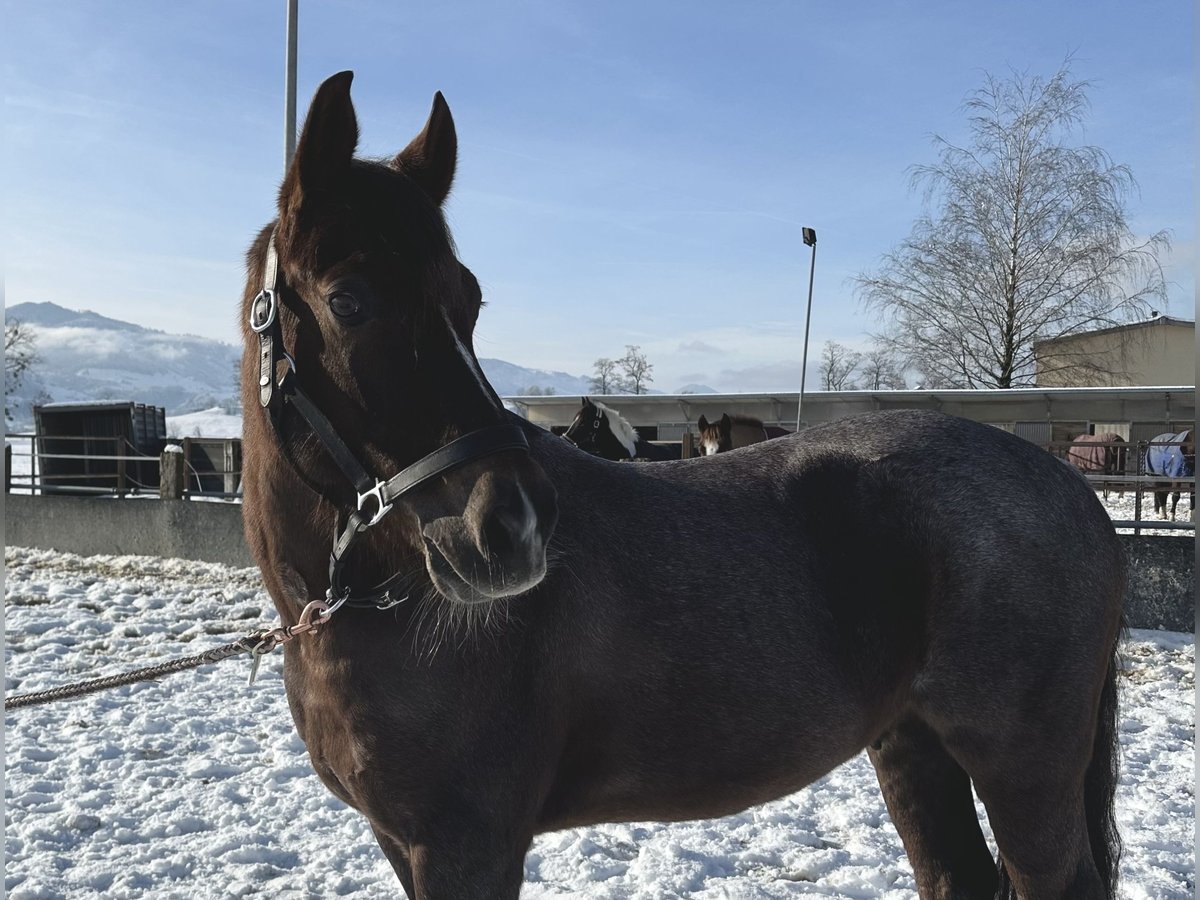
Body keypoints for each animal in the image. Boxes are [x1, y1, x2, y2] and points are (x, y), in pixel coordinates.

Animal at [241, 72, 1123, 900]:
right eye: (348, 300)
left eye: (470, 299)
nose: (512, 528)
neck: (362, 610)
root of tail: (1072, 493)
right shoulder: (404, 844)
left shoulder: (466, 847)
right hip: (915, 745)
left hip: (1021, 768)